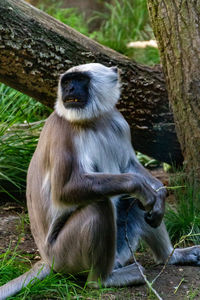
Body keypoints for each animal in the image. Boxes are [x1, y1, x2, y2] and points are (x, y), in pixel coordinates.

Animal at [0, 62, 200, 298]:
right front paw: (141, 186)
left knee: (138, 205)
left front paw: (159, 192)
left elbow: (129, 165)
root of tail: (47, 260)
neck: (92, 121)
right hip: (64, 254)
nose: (69, 90)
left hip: (117, 250)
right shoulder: (63, 131)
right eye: (67, 82)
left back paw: (171, 256)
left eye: (80, 80)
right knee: (99, 205)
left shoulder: (118, 122)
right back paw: (102, 281)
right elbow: (65, 190)